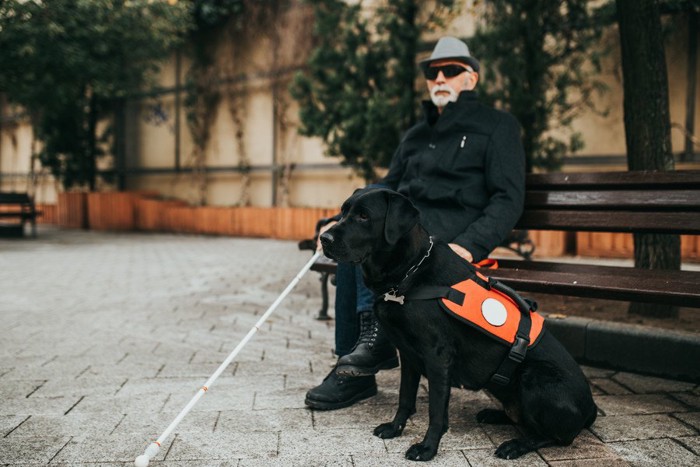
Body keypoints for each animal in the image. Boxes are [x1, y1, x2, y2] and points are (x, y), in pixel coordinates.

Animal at [320, 188, 600, 462]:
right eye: (343, 212)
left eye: (364, 216)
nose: (324, 238)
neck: (409, 272)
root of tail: (591, 410)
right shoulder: (408, 355)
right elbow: (405, 397)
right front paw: (394, 428)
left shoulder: (437, 356)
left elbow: (436, 411)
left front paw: (427, 448)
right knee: (520, 418)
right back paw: (494, 415)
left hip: (535, 377)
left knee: (554, 436)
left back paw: (516, 445)